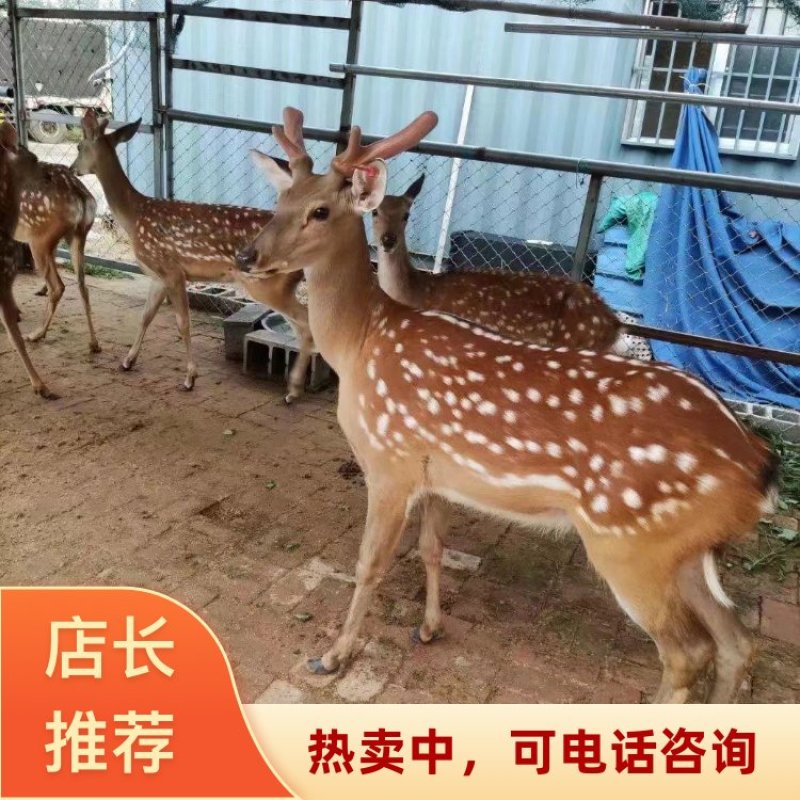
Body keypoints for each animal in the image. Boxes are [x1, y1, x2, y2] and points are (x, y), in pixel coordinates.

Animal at [0, 122, 100, 353]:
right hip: (77, 235)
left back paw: (36, 334)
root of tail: (82, 197)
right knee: (82, 284)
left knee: (58, 286)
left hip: (40, 238)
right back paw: (94, 343)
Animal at [71, 110, 314, 400]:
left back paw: (295, 391)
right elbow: (145, 316)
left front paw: (189, 378)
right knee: (303, 326)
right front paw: (128, 361)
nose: (72, 169)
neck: (134, 215)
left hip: (268, 284)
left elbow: (183, 323)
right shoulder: (158, 276)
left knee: (306, 324)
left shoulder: (172, 270)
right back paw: (296, 387)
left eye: (79, 146)